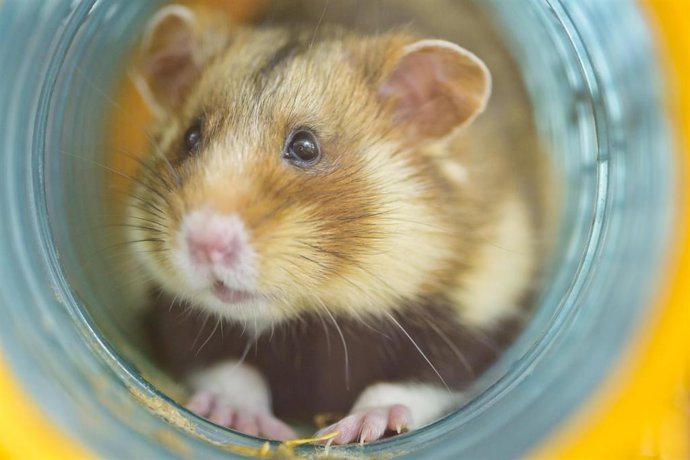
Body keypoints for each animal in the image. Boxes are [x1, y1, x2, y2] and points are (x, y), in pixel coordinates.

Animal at [127, 4, 544, 445]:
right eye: (191, 137)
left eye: (305, 147)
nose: (204, 244)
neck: (310, 317)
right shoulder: (173, 318)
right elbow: (225, 365)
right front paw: (240, 419)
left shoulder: (479, 311)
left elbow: (415, 380)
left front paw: (361, 429)